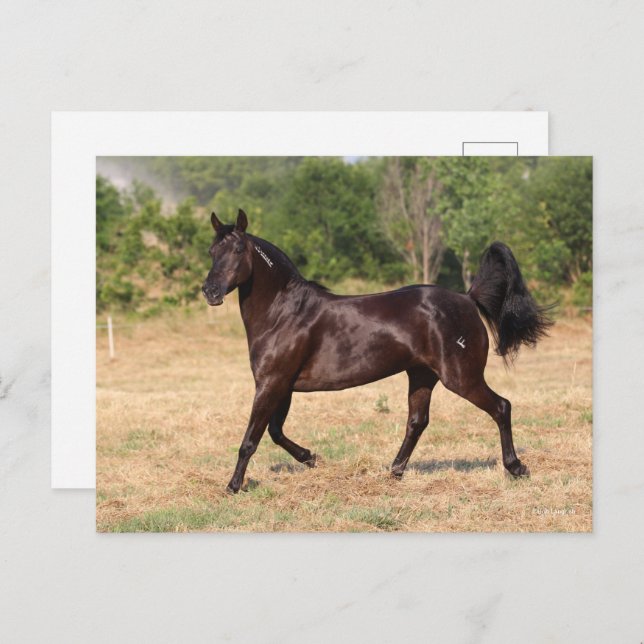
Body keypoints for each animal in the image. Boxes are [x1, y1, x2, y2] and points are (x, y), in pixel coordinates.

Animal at [202, 209, 553, 494]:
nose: (210, 291)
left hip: (461, 377)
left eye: (237, 249)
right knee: (417, 421)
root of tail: (468, 299)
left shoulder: (271, 383)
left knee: (501, 407)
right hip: (422, 375)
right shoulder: (282, 386)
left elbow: (251, 439)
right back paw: (395, 471)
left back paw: (516, 467)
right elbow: (275, 432)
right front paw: (311, 457)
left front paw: (233, 486)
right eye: (211, 251)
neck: (284, 313)